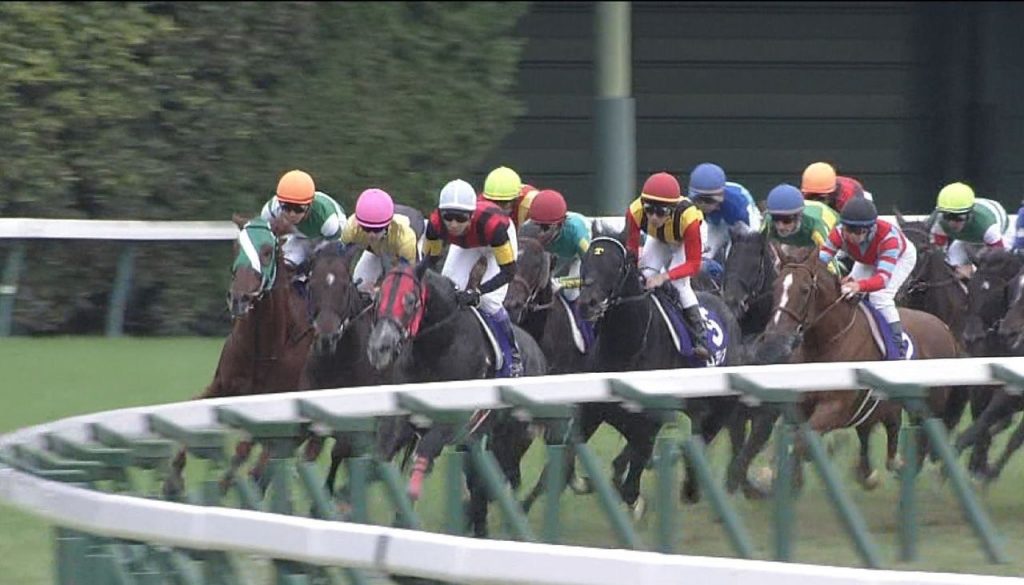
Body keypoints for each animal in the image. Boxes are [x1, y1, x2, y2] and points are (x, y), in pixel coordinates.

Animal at [161, 215, 313, 499]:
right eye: (235, 247)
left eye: (267, 251)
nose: (239, 298)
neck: (264, 346)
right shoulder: (223, 384)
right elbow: (191, 411)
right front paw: (172, 481)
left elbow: (244, 452)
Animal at [366, 262, 548, 536]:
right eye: (378, 298)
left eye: (410, 300)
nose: (380, 347)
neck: (437, 347)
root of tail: (538, 353)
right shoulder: (401, 420)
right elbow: (380, 460)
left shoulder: (450, 423)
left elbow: (422, 458)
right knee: (478, 482)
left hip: (511, 438)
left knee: (498, 478)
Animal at [577, 235, 753, 506]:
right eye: (585, 261)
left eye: (616, 265)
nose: (588, 303)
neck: (625, 347)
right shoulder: (592, 413)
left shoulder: (648, 425)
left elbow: (631, 486)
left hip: (720, 407)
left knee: (702, 439)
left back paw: (692, 488)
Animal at [753, 244, 958, 487]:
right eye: (775, 287)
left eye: (804, 290)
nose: (774, 340)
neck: (827, 342)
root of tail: (944, 327)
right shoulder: (801, 403)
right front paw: (771, 474)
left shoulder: (835, 408)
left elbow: (803, 441)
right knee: (888, 427)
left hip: (929, 405)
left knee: (922, 438)